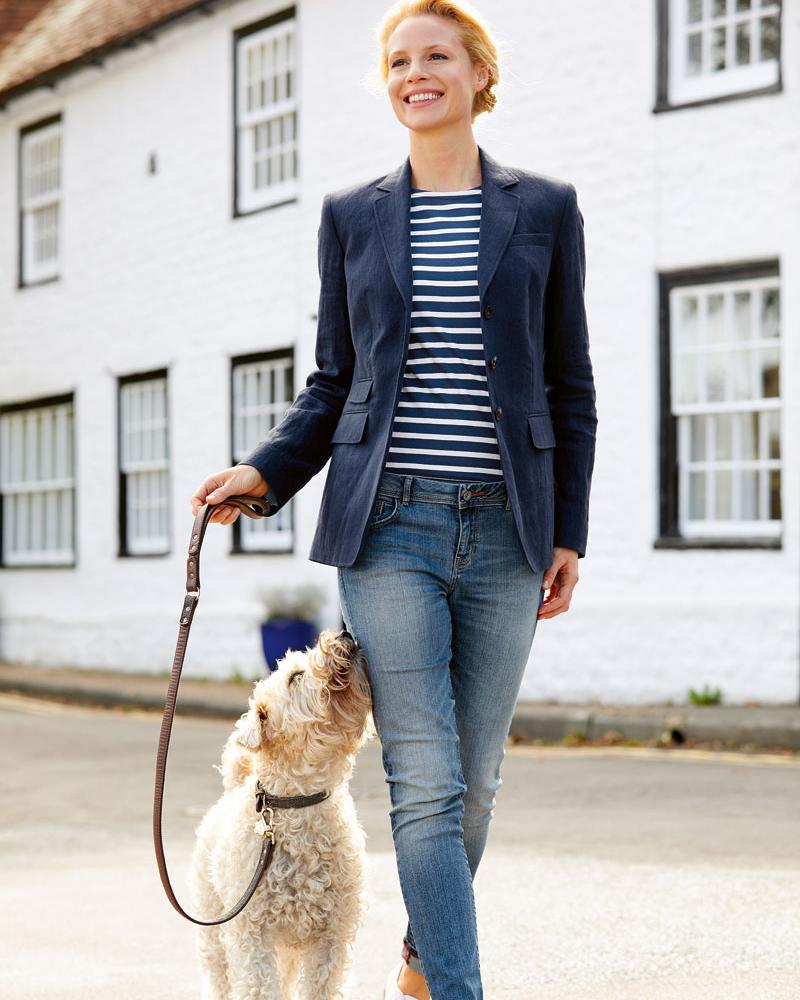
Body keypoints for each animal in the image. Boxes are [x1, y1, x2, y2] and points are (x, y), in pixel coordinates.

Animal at [189, 628, 376, 999]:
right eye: (296, 677)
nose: (344, 635)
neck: (300, 803)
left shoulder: (331, 937)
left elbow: (319, 987)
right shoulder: (252, 934)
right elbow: (260, 987)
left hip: (287, 949)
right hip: (216, 933)